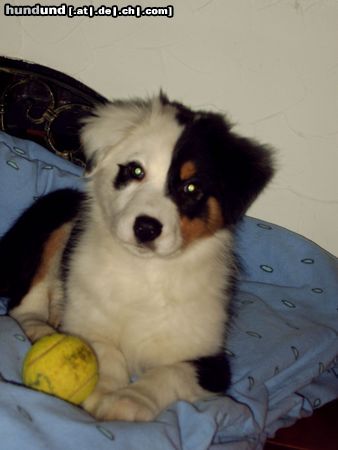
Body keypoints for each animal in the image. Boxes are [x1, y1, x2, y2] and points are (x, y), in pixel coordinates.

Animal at [0, 93, 274, 424]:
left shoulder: (212, 362)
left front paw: (129, 400)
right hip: (56, 214)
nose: (146, 228)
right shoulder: (85, 321)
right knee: (23, 302)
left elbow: (171, 372)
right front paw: (102, 390)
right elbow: (103, 350)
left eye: (191, 187)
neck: (145, 271)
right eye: (135, 171)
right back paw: (40, 331)